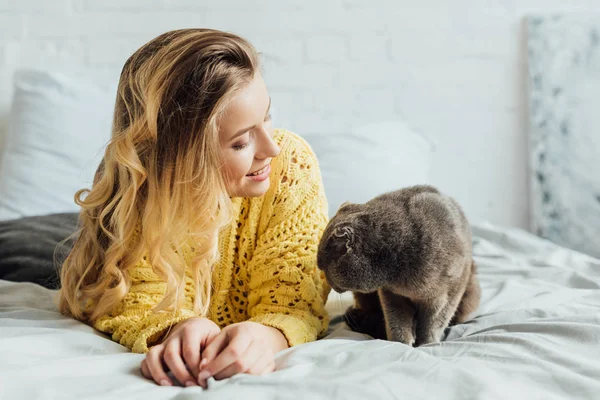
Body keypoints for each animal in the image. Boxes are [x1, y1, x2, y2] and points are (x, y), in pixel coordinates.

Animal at [316, 186, 480, 346]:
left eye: (323, 268)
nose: (329, 285)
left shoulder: (449, 291)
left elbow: (435, 322)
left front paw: (427, 343)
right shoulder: (392, 295)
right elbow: (397, 321)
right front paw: (400, 343)